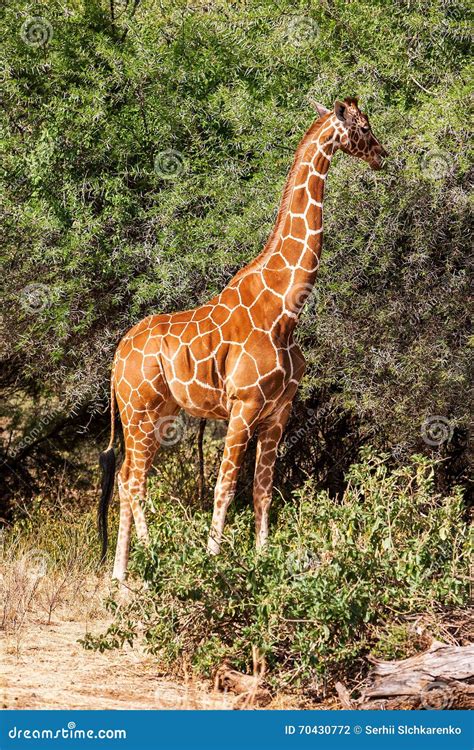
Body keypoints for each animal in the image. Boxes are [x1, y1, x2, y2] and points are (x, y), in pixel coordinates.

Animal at [98, 97, 387, 581]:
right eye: (364, 126)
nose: (382, 155)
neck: (285, 309)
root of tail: (117, 356)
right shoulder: (244, 405)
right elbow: (225, 486)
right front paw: (214, 563)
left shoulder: (278, 411)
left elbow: (262, 489)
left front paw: (263, 559)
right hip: (137, 412)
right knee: (133, 481)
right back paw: (138, 566)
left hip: (160, 414)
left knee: (126, 478)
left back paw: (132, 566)